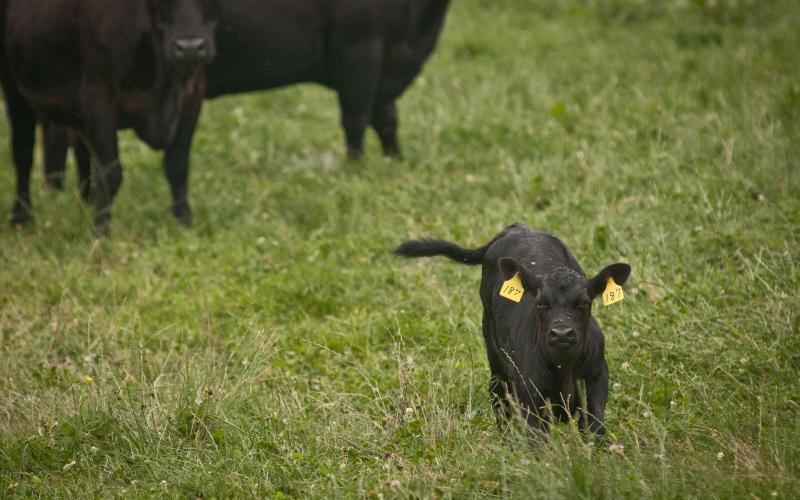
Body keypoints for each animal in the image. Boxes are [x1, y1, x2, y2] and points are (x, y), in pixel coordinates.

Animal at [0, 0, 218, 232]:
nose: (190, 48)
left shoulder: (193, 95)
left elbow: (177, 166)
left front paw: (184, 222)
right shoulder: (99, 97)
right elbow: (110, 173)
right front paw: (101, 229)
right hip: (13, 85)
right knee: (23, 154)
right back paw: (21, 219)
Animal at [40, 0, 452, 195]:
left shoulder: (384, 61)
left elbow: (387, 119)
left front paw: (396, 163)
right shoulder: (360, 48)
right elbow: (356, 120)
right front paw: (356, 170)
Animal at [395, 223, 632, 437]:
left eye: (583, 302)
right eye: (540, 303)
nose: (562, 333)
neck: (564, 367)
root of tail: (517, 228)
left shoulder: (596, 382)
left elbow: (595, 431)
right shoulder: (530, 398)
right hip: (496, 358)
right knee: (499, 397)